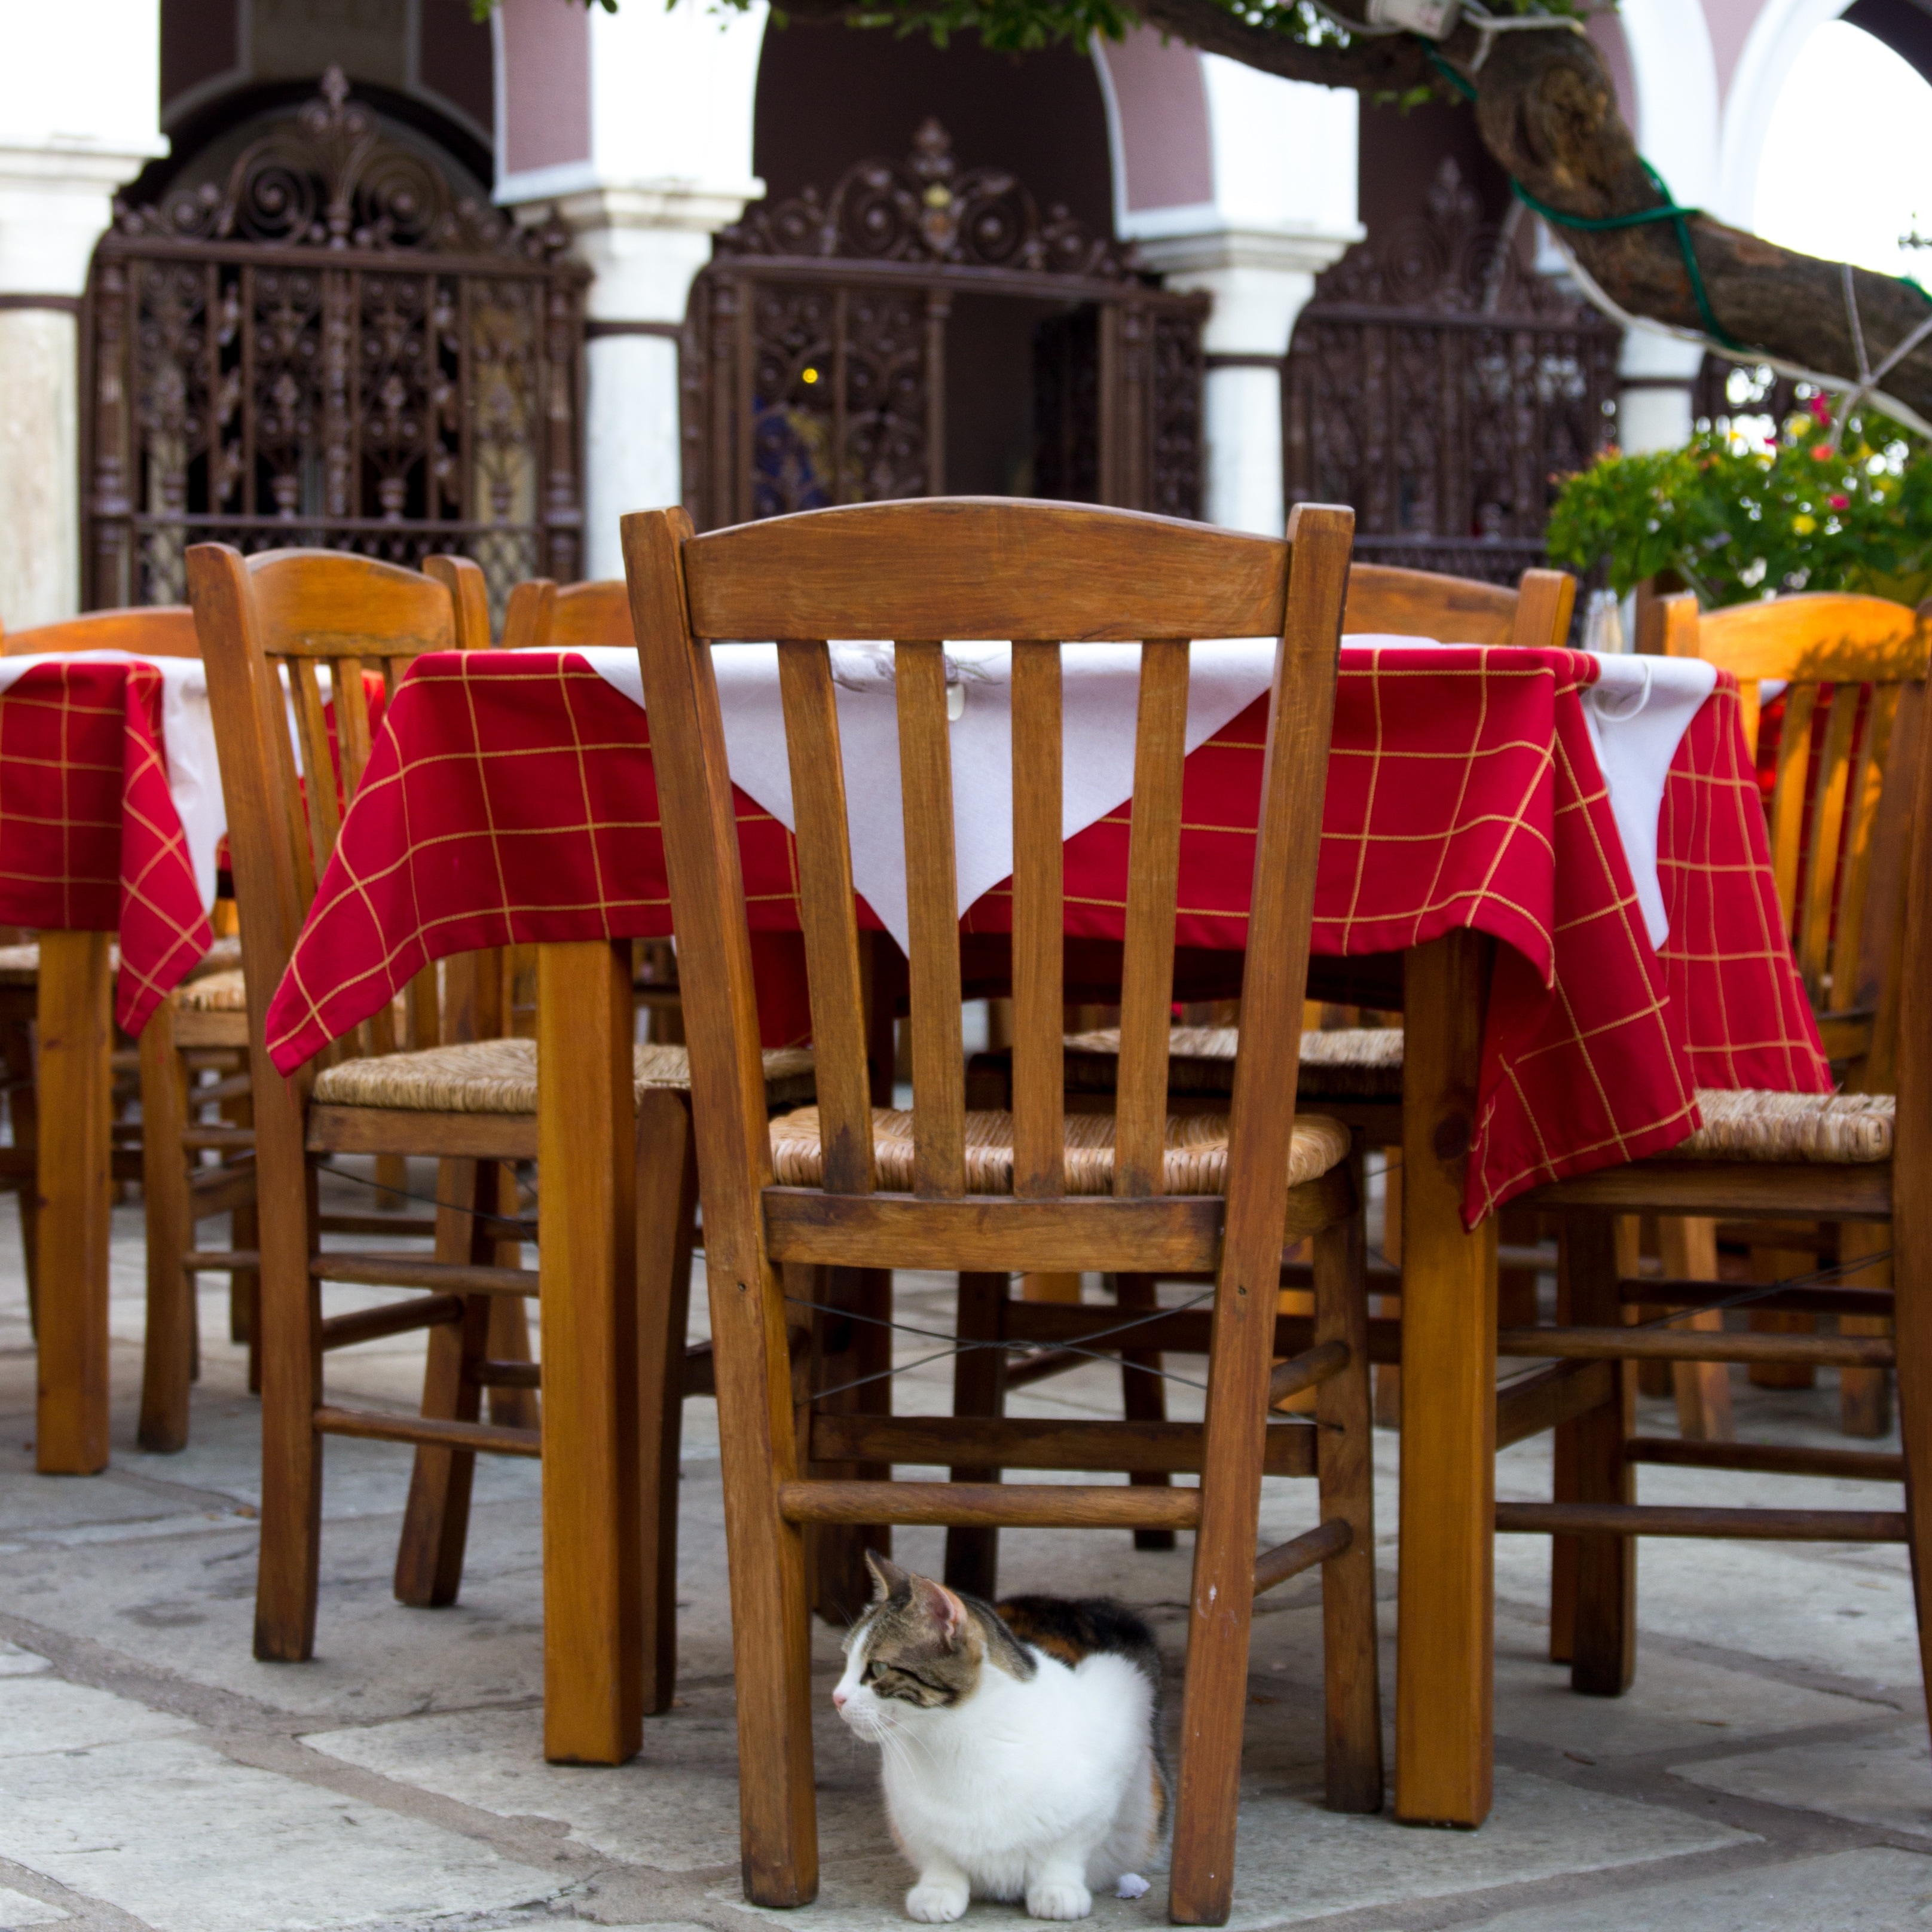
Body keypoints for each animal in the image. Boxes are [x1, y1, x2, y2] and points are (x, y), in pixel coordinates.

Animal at [827, 1545, 1159, 1924]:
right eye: (846, 1661)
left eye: (878, 1668)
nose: (836, 1698)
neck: (954, 1740)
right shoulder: (909, 1813)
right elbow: (936, 1851)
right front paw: (939, 1888)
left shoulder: (1123, 1697)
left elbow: (1068, 1847)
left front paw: (1058, 1888)